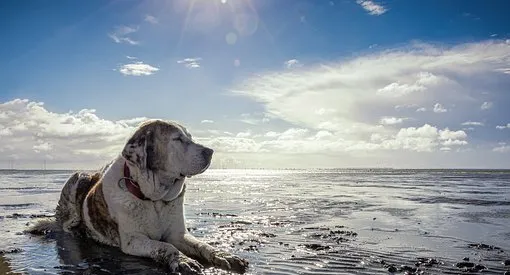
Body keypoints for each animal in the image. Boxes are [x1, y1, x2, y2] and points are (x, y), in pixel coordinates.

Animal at [28, 120, 248, 275]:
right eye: (177, 139)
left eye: (190, 137)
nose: (210, 151)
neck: (154, 198)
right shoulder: (133, 240)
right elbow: (165, 246)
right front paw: (183, 260)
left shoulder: (178, 234)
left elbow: (203, 245)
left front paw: (224, 255)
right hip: (79, 178)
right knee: (66, 226)